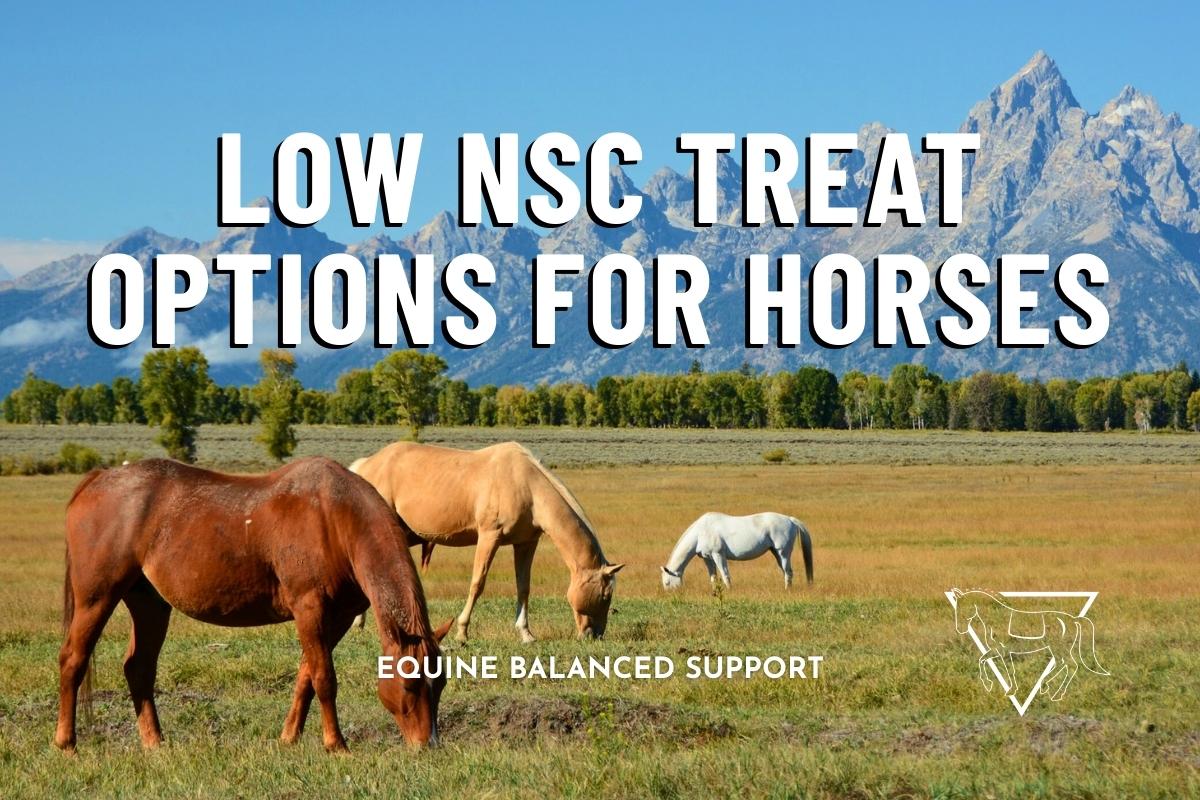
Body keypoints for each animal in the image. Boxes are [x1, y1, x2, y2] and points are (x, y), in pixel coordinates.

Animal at [55, 457, 452, 754]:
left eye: (442, 682)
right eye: (409, 684)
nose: (427, 745)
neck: (336, 518)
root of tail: (98, 479)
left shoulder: (336, 618)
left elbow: (306, 676)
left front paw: (289, 737)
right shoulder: (309, 609)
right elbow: (324, 678)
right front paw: (335, 744)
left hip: (149, 604)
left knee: (138, 668)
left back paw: (155, 742)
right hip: (97, 598)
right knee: (73, 659)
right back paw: (66, 742)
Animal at [349, 441, 623, 643]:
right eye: (604, 595)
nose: (594, 635)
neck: (526, 485)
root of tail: (366, 465)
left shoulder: (526, 543)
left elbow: (523, 587)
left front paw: (526, 633)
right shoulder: (489, 537)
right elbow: (477, 584)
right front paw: (461, 632)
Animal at [660, 512, 813, 592]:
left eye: (667, 582)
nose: (670, 594)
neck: (701, 532)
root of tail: (790, 519)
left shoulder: (718, 555)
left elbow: (725, 574)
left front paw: (729, 590)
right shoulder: (707, 558)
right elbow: (713, 577)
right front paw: (715, 592)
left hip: (783, 553)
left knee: (788, 572)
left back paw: (787, 590)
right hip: (776, 553)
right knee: (785, 571)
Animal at [949, 588, 1109, 702]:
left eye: (963, 608)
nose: (959, 629)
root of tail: (1073, 619)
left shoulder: (1003, 650)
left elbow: (1008, 670)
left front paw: (1010, 691)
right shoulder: (997, 650)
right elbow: (982, 660)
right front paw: (988, 684)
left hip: (1059, 647)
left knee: (1070, 665)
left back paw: (1055, 693)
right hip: (1056, 648)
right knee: (1063, 664)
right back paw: (1046, 687)